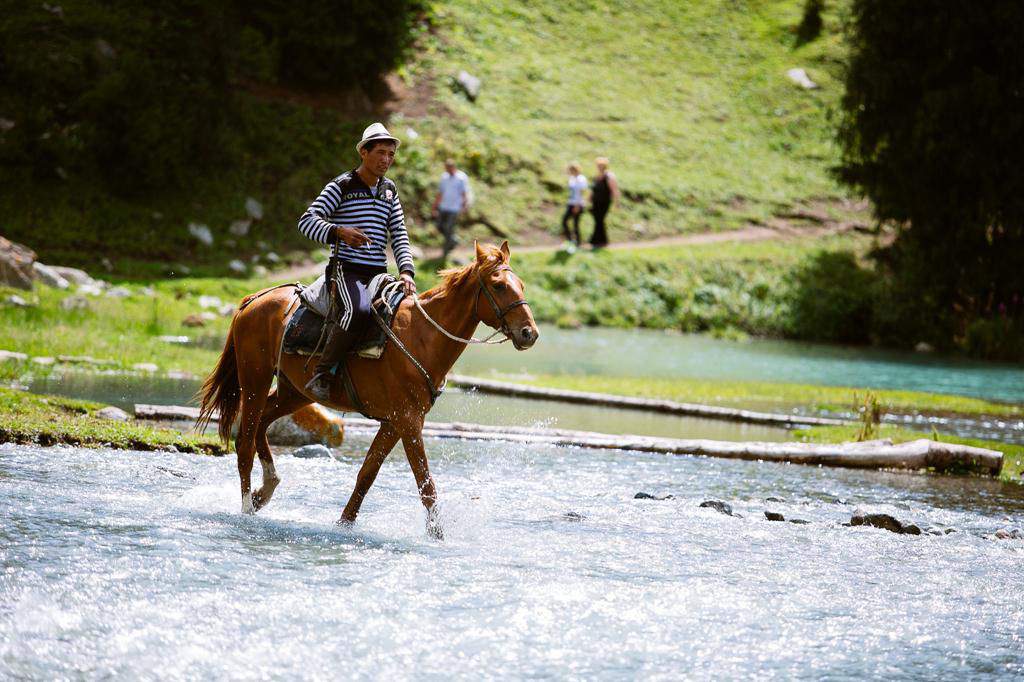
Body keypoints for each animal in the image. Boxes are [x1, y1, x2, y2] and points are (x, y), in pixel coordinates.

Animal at [194, 241, 540, 532]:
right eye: (498, 285)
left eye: (521, 285)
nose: (529, 333)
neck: (423, 336)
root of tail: (254, 300)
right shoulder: (408, 421)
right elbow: (425, 483)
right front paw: (438, 535)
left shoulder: (394, 423)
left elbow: (367, 474)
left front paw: (344, 524)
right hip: (255, 378)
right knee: (245, 440)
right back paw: (246, 507)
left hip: (295, 392)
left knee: (263, 422)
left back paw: (265, 490)